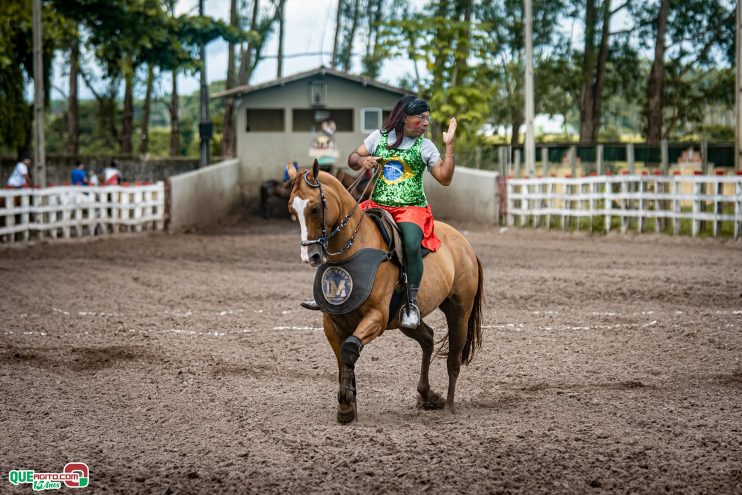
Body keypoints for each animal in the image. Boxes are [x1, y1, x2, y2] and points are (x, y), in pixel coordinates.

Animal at [288, 162, 486, 422]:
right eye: (292, 210)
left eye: (315, 207)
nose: (309, 256)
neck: (354, 249)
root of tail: (464, 243)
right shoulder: (332, 322)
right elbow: (343, 359)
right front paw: (348, 406)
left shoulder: (377, 317)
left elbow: (349, 350)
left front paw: (346, 404)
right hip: (405, 320)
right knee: (428, 339)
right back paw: (427, 395)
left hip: (459, 311)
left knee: (454, 358)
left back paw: (450, 407)